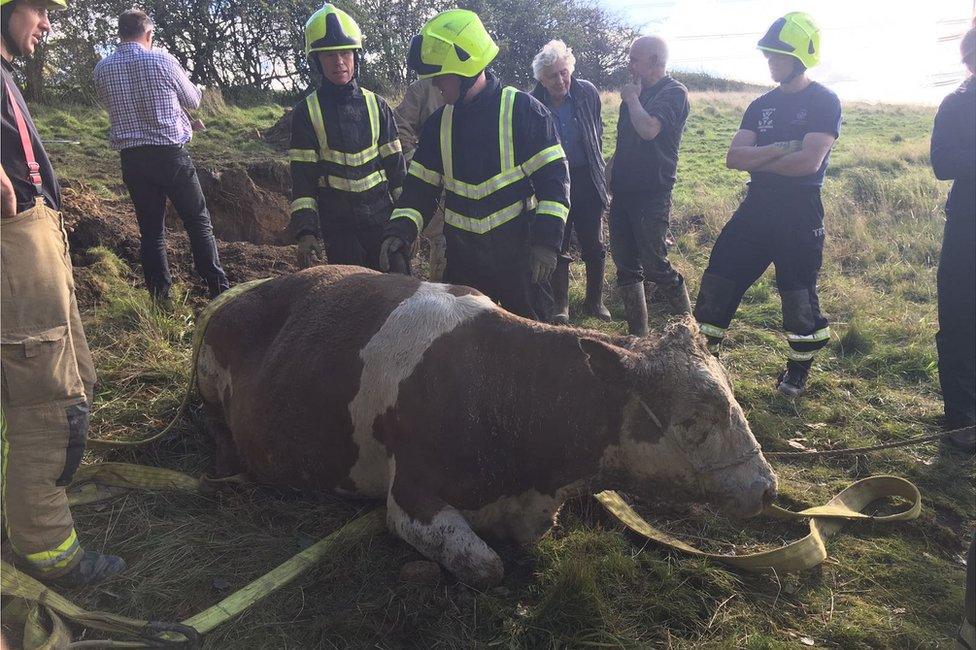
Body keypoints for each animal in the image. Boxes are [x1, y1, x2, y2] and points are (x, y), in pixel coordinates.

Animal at [198, 266, 776, 584]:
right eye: (695, 418)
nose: (767, 487)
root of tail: (246, 292)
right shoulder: (409, 497)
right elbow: (485, 566)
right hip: (208, 378)